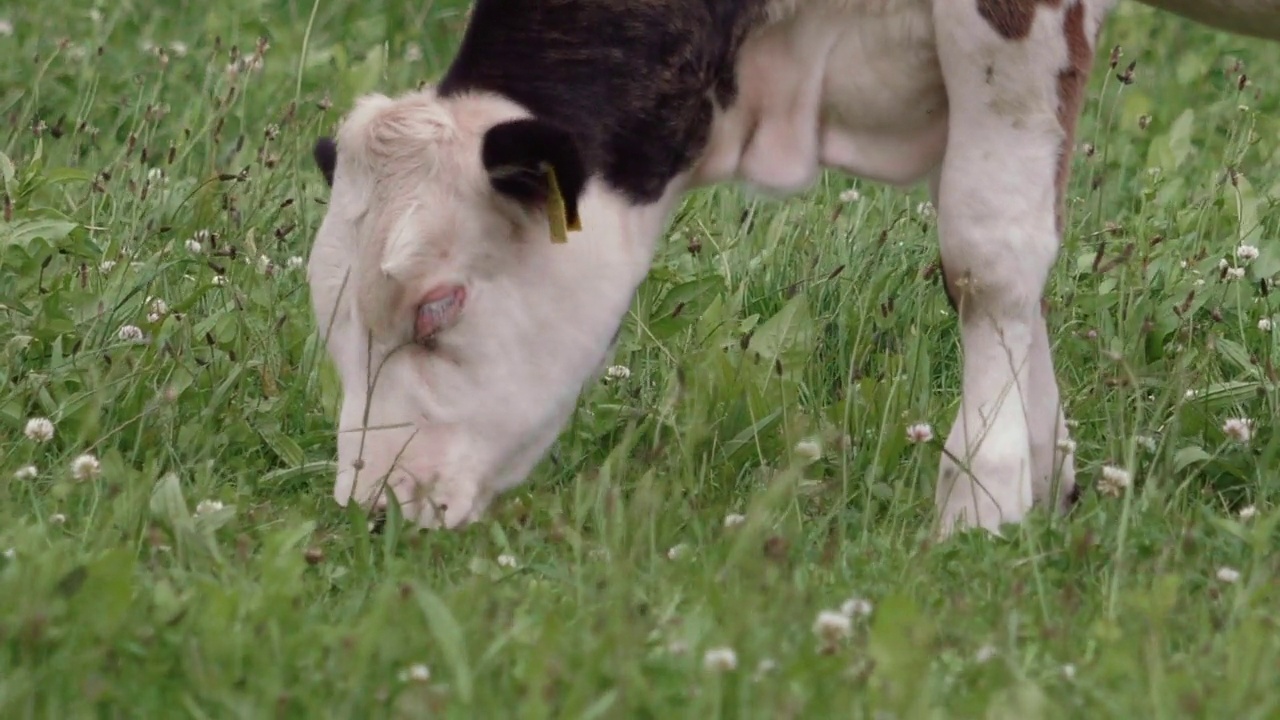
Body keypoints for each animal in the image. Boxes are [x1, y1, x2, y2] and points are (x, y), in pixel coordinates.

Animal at [307, 0, 1280, 535]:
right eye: (333, 322)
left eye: (437, 305)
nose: (374, 507)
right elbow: (1014, 241)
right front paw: (1044, 476)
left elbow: (989, 253)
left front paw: (982, 499)